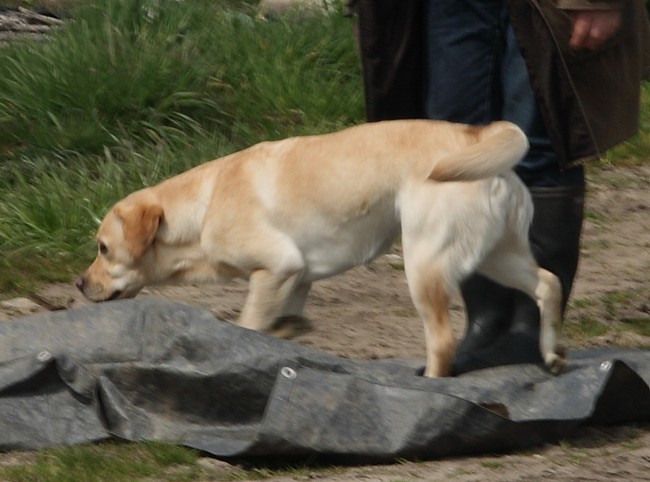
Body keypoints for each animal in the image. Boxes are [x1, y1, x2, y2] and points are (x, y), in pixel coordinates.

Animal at [76, 119, 564, 376]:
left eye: (103, 248)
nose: (79, 284)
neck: (205, 204)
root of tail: (477, 135)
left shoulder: (276, 268)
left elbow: (248, 327)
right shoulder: (295, 279)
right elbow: (281, 326)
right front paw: (289, 334)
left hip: (425, 266)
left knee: (442, 341)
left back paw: (432, 381)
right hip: (496, 257)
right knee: (549, 283)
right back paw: (552, 355)